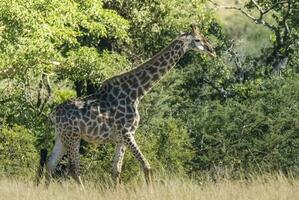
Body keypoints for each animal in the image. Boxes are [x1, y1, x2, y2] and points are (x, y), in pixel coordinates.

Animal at [36, 23, 217, 188]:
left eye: (204, 37)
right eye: (197, 39)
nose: (212, 51)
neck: (137, 93)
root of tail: (53, 114)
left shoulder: (120, 139)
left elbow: (116, 170)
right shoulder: (127, 133)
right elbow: (146, 166)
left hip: (62, 135)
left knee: (50, 164)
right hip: (73, 136)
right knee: (73, 169)